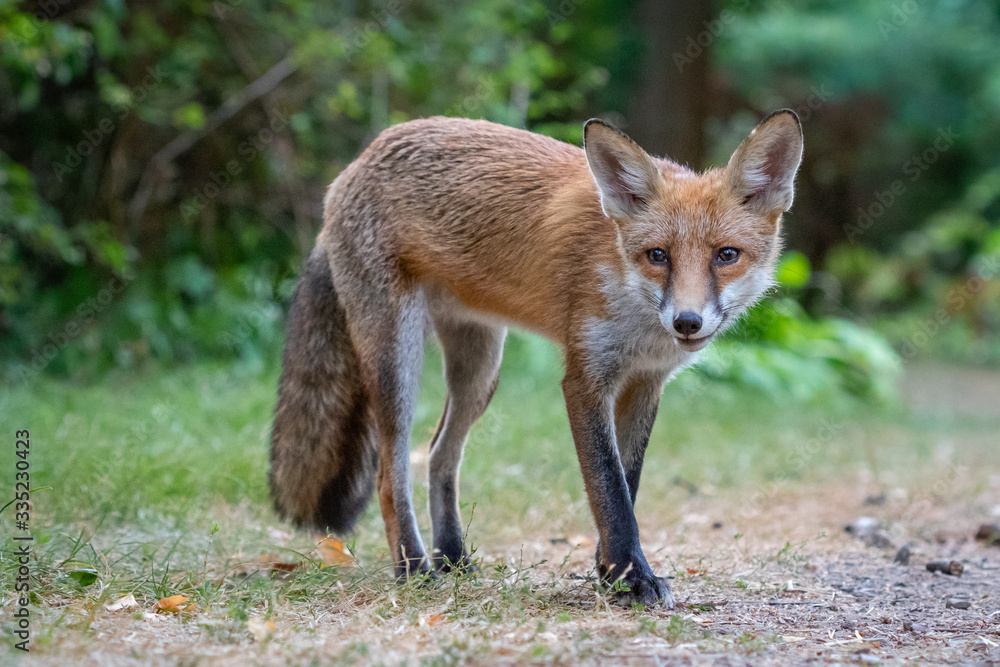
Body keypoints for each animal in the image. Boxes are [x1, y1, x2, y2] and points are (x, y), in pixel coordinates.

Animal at [270, 112, 800, 608]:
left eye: (726, 255)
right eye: (658, 255)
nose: (687, 322)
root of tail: (355, 164)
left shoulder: (646, 382)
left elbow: (627, 484)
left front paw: (611, 572)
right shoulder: (586, 379)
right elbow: (609, 489)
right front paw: (632, 577)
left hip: (481, 370)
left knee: (440, 453)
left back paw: (452, 557)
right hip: (397, 361)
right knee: (390, 472)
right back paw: (414, 568)